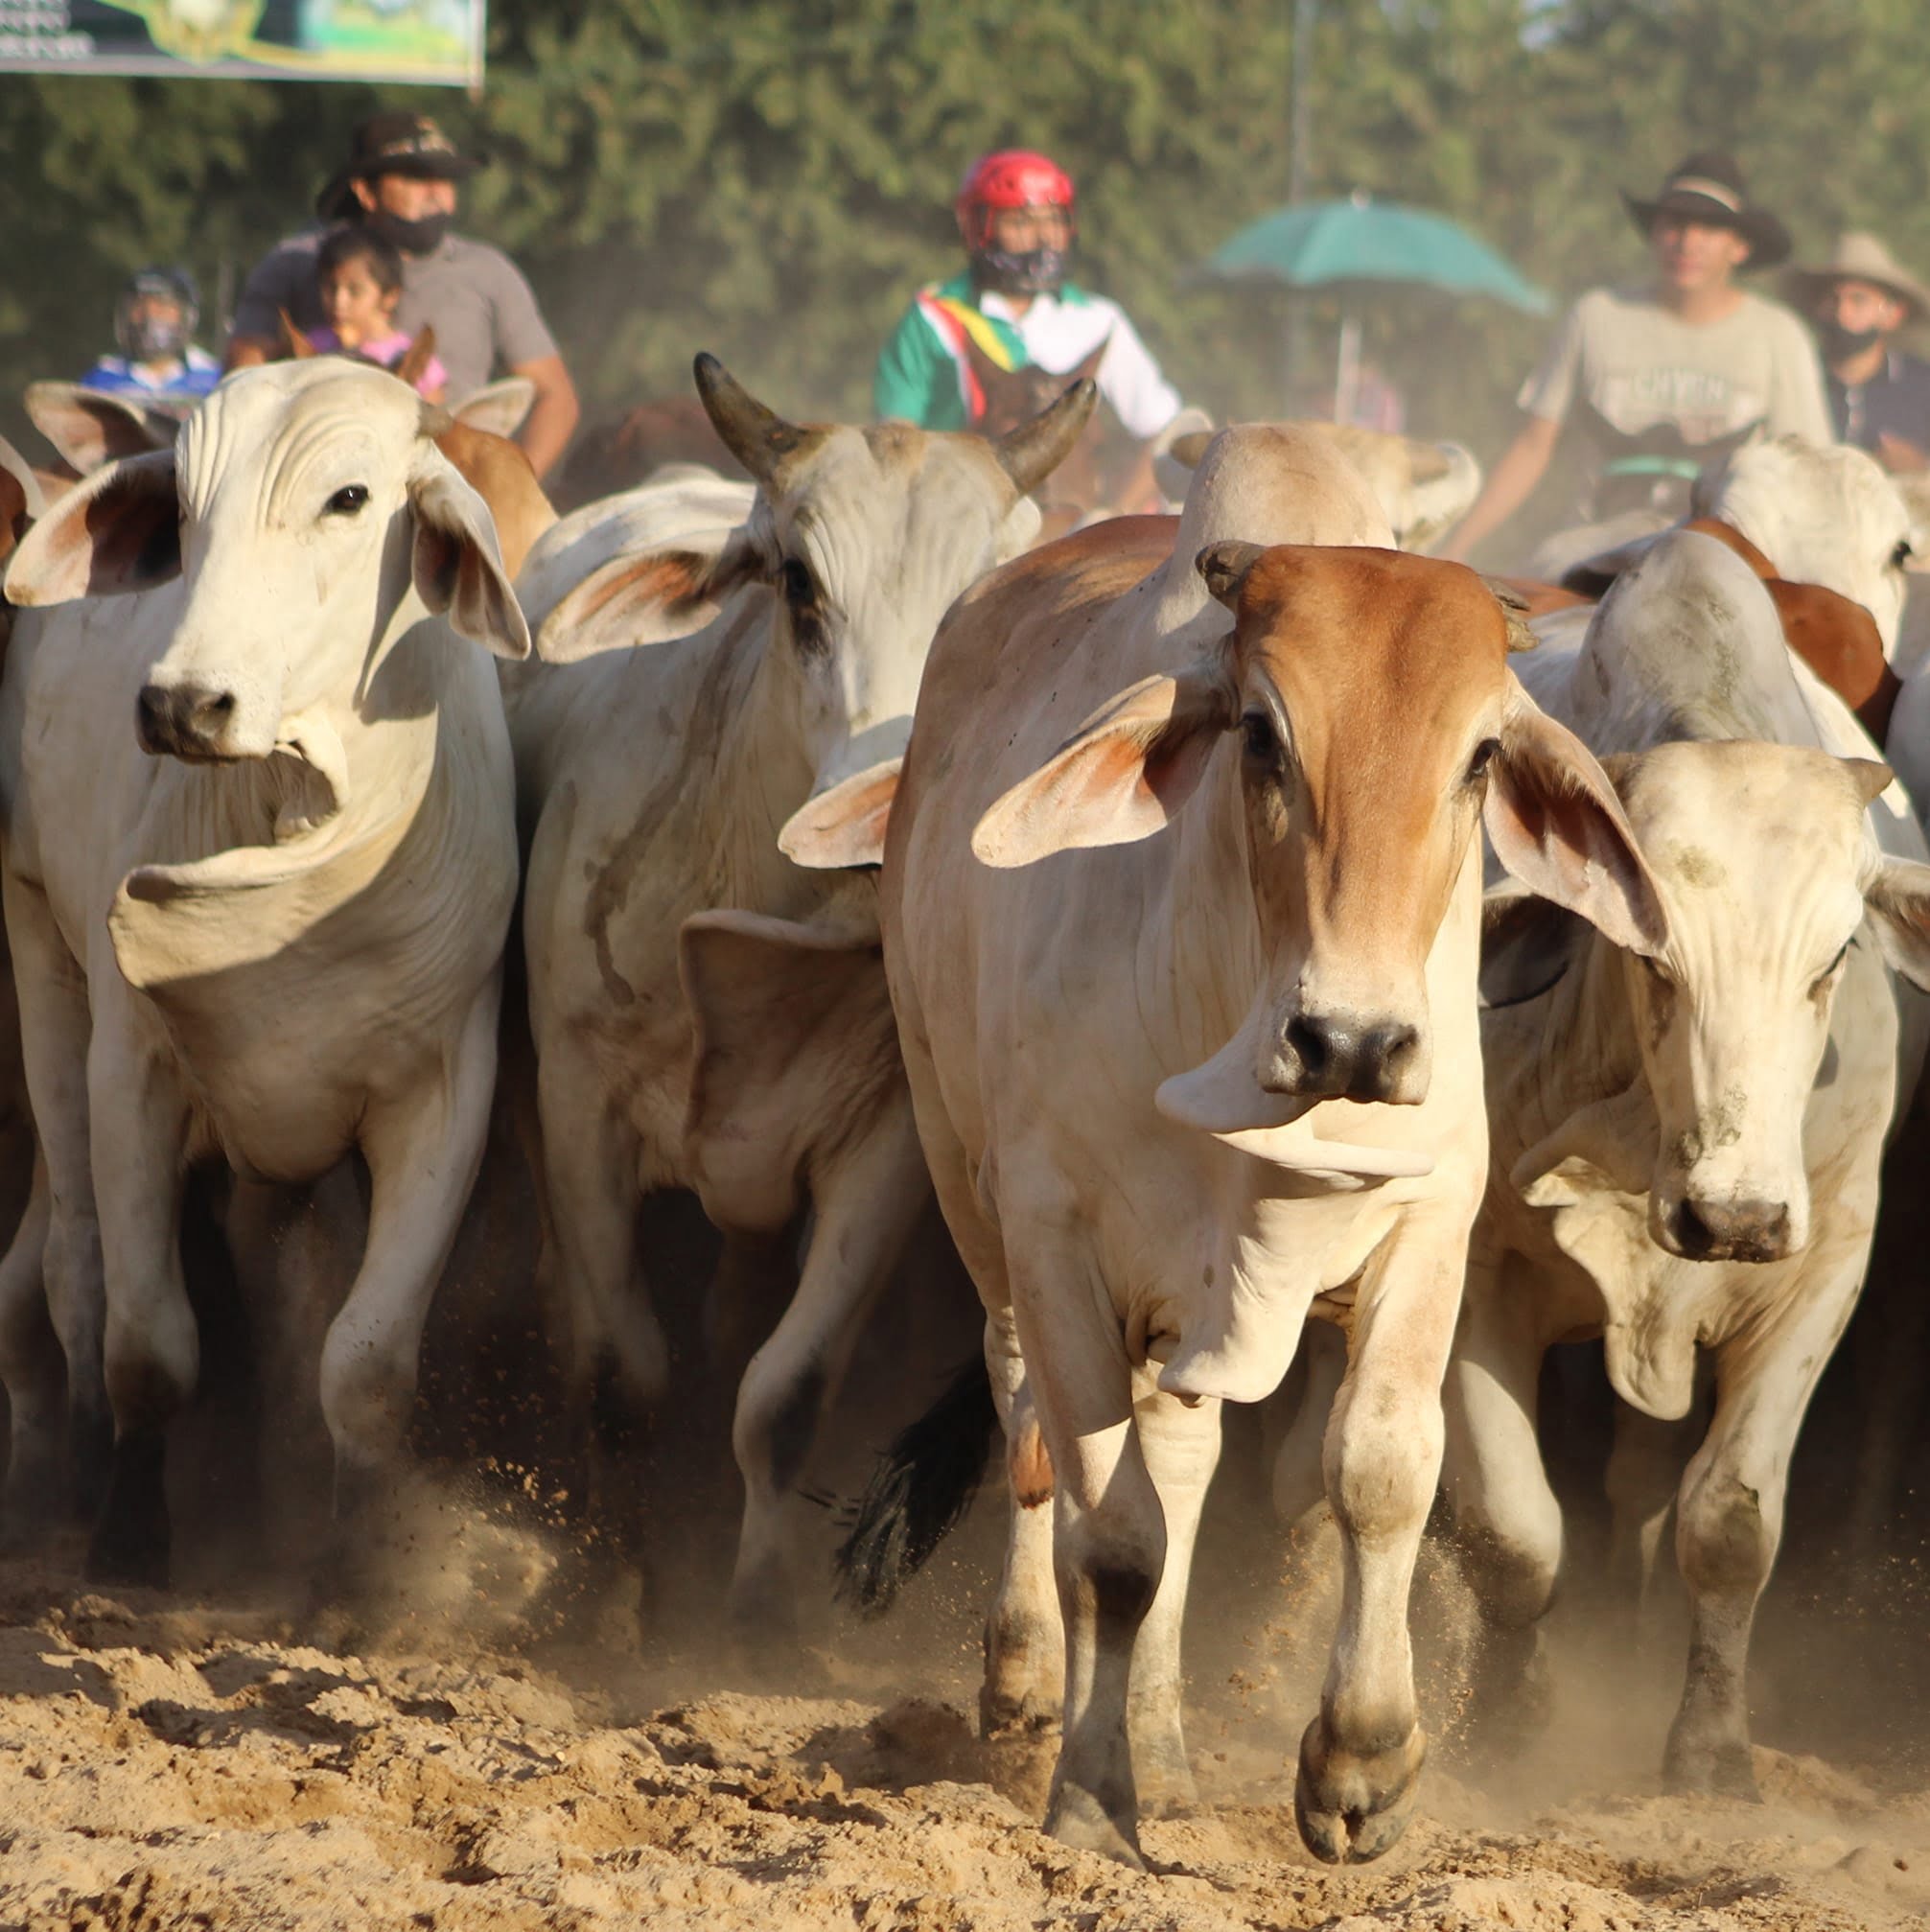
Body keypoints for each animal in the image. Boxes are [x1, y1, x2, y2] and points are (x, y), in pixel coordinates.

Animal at [0, 359, 529, 1584]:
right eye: (185, 509)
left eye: (350, 498)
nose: (183, 702)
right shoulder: (132, 1071)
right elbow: (150, 1342)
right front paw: (131, 1538)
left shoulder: (447, 1091)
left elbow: (366, 1361)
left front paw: (354, 1568)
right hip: (40, 958)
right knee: (73, 1267)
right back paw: (72, 1476)